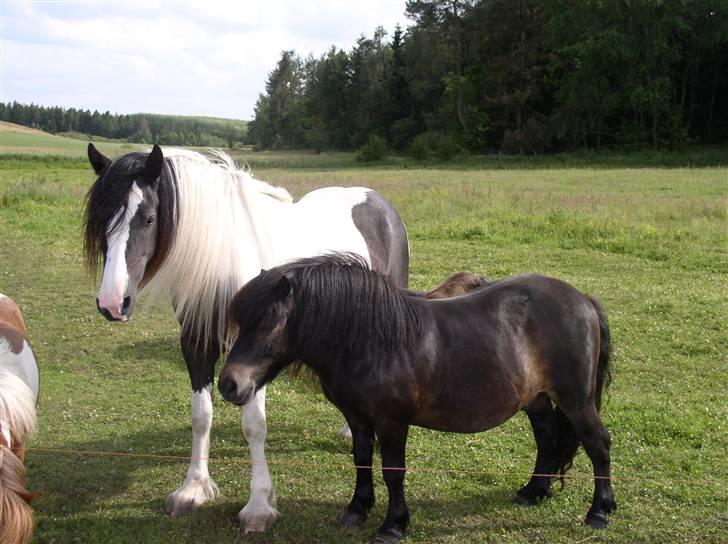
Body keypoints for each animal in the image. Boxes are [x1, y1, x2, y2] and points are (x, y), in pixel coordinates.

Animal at [84, 144, 410, 532]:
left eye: (148, 218)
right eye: (101, 218)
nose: (112, 302)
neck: (224, 256)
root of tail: (377, 201)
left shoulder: (256, 351)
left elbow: (254, 426)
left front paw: (258, 505)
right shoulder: (196, 342)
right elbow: (201, 415)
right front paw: (193, 489)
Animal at [220, 255, 616, 544]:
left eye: (271, 322)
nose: (229, 384)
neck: (370, 340)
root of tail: (582, 300)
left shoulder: (392, 422)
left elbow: (393, 471)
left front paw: (393, 525)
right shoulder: (357, 418)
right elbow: (361, 461)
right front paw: (356, 510)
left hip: (576, 400)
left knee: (598, 443)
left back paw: (599, 511)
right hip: (536, 399)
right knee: (547, 438)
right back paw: (534, 491)